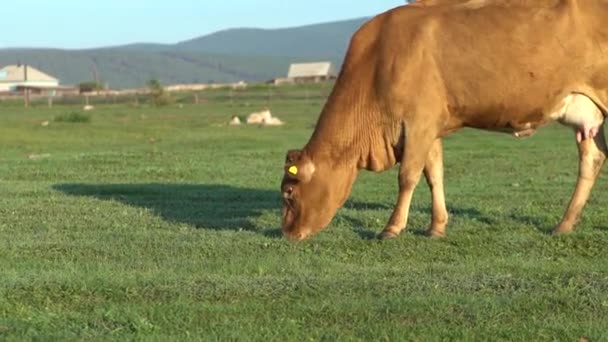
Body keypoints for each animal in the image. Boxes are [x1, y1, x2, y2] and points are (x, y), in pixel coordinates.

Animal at [280, 0, 608, 242]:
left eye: (289, 192)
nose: (287, 233)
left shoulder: (418, 123)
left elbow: (407, 176)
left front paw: (391, 228)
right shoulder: (429, 127)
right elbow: (433, 174)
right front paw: (436, 227)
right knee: (591, 159)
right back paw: (564, 224)